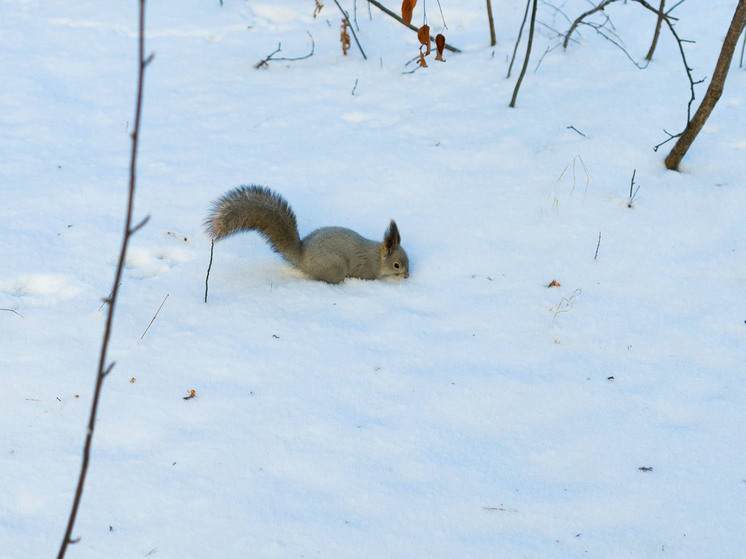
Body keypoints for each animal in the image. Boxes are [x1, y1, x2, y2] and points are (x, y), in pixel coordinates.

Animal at [203, 186, 406, 284]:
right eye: (396, 265)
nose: (407, 276)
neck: (377, 258)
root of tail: (302, 257)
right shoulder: (366, 271)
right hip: (335, 267)